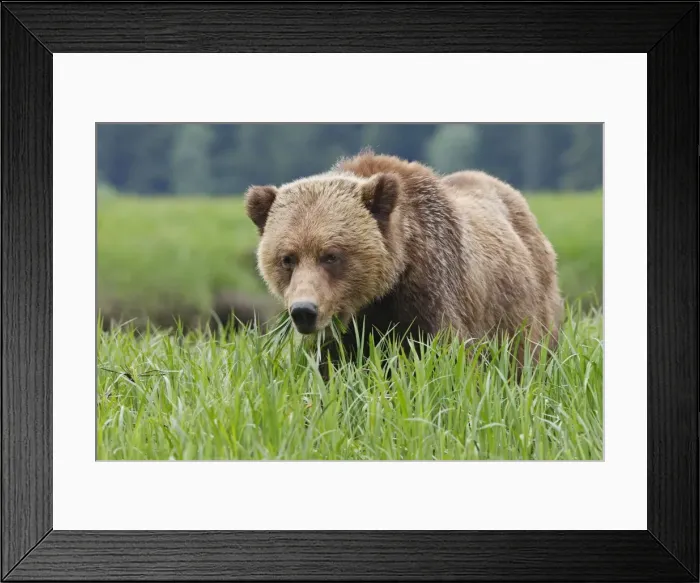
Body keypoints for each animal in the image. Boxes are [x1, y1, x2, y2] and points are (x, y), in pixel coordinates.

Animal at [244, 149, 564, 372]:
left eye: (331, 255)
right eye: (287, 258)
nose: (304, 311)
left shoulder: (432, 293)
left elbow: (447, 361)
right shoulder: (341, 333)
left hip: (523, 310)